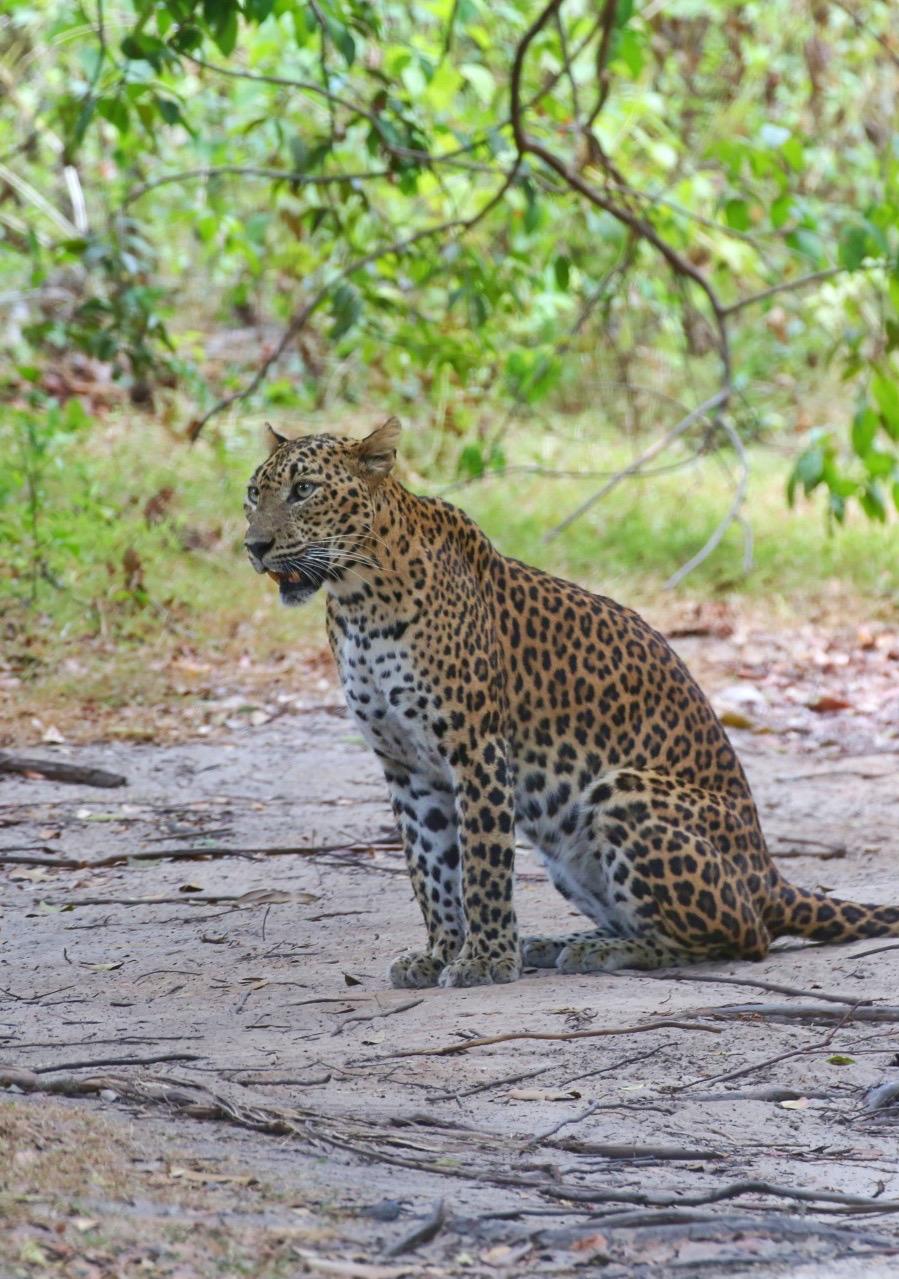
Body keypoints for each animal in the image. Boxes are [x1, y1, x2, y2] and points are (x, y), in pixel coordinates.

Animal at [244, 418, 899, 988]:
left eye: (304, 491)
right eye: (254, 495)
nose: (254, 546)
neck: (357, 599)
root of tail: (770, 873)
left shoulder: (476, 749)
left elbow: (482, 866)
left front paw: (485, 958)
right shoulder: (405, 765)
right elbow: (430, 868)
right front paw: (440, 953)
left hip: (622, 791)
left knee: (745, 935)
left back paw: (596, 951)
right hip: (568, 850)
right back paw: (558, 943)